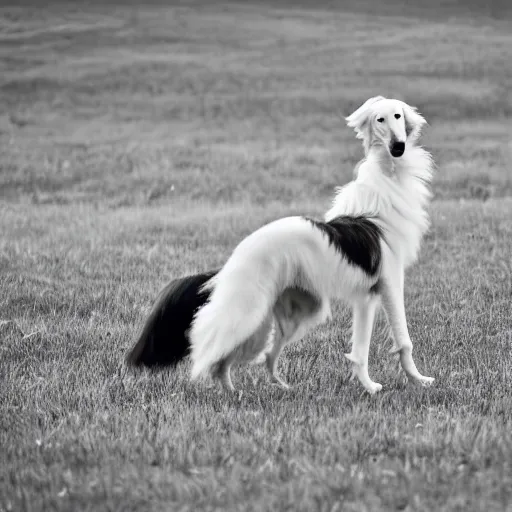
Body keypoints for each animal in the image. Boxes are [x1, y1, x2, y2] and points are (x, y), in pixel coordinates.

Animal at [128, 97, 436, 396]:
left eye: (398, 115)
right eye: (379, 119)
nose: (398, 147)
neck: (386, 184)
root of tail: (230, 263)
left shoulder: (366, 295)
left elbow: (359, 351)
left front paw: (369, 387)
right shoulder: (390, 281)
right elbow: (404, 341)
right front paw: (419, 380)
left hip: (290, 315)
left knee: (255, 358)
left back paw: (253, 391)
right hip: (249, 311)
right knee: (209, 341)